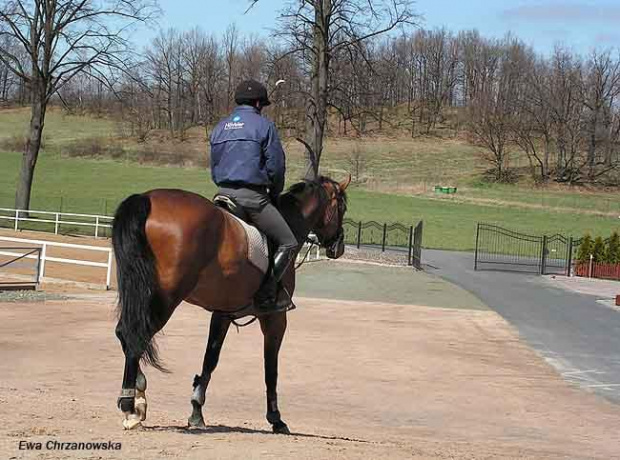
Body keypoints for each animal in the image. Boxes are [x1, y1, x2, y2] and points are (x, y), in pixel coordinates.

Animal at [112, 174, 348, 434]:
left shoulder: (223, 313)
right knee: (134, 336)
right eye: (342, 207)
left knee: (125, 333)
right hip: (166, 297)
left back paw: (138, 396)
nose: (339, 246)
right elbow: (271, 369)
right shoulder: (275, 318)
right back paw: (130, 405)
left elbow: (210, 359)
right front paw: (276, 418)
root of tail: (147, 198)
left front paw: (196, 411)